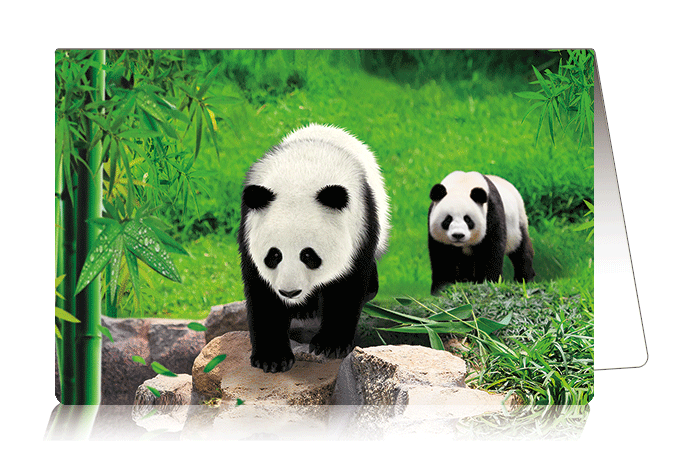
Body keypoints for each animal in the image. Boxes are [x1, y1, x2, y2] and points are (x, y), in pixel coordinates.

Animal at [238, 123, 390, 373]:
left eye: (308, 255)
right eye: (274, 255)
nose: (289, 292)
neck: (300, 175)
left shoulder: (358, 225)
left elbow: (346, 286)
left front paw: (330, 345)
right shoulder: (249, 229)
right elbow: (262, 293)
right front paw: (272, 358)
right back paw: (304, 308)